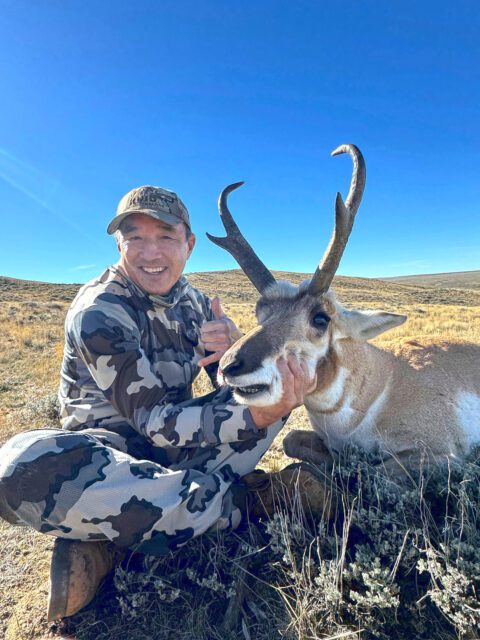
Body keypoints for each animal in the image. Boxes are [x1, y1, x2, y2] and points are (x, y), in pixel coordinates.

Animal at [207, 145, 480, 477]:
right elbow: (291, 441)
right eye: (261, 311)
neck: (383, 381)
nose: (229, 366)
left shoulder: (442, 455)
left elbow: (376, 471)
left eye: (320, 318)